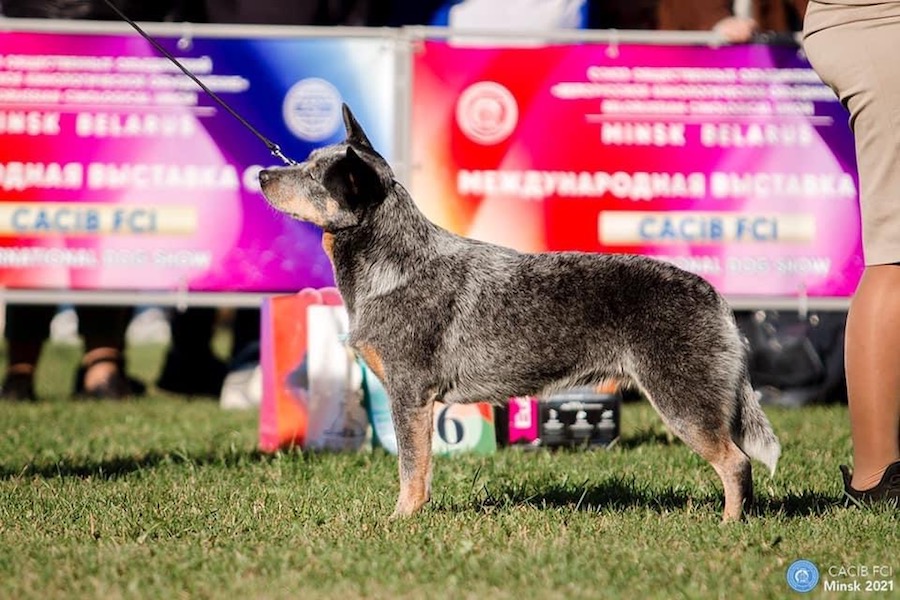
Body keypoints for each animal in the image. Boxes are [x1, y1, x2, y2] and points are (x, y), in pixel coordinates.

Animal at [260, 105, 780, 524]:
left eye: (313, 176)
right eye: (304, 162)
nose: (263, 174)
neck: (395, 261)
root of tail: (713, 295)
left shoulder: (410, 395)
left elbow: (412, 469)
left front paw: (400, 520)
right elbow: (421, 469)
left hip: (683, 401)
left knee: (736, 462)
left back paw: (729, 524)